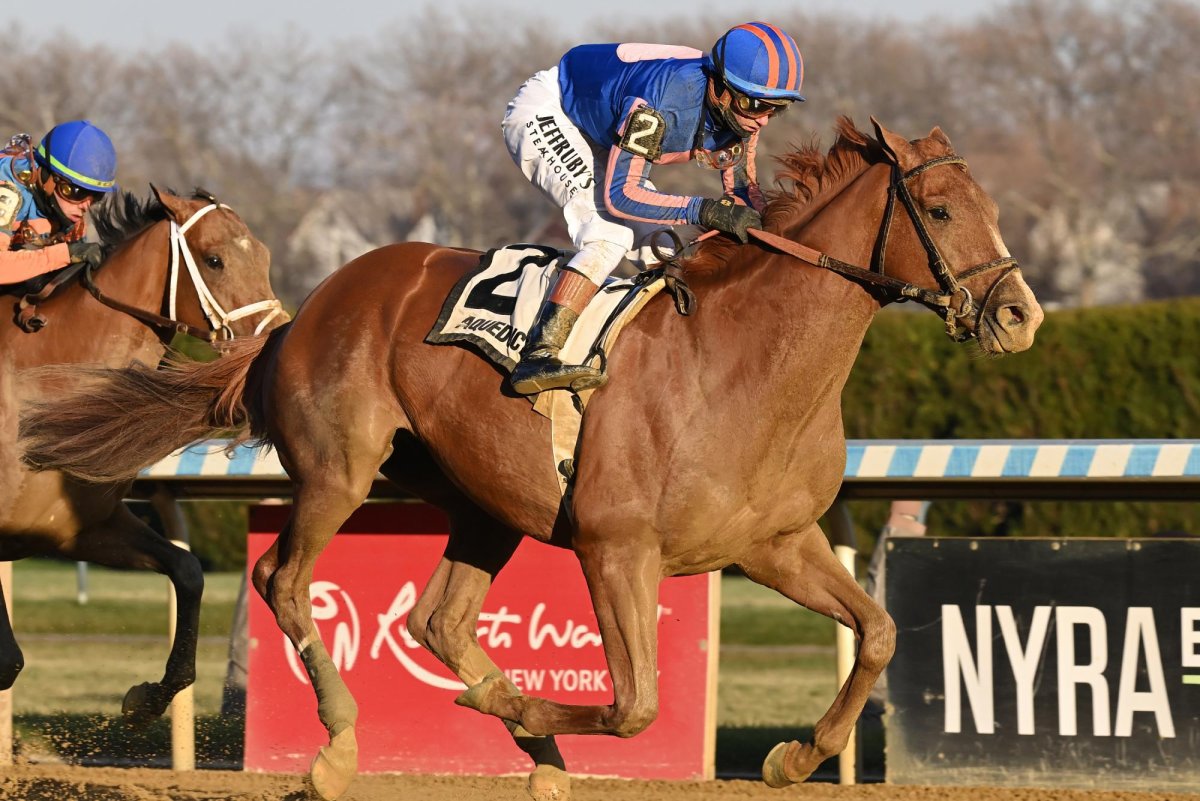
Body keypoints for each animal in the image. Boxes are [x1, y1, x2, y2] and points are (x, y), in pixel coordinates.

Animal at [0, 187, 283, 725]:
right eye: (214, 260)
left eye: (263, 255)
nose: (276, 340)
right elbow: (9, 663)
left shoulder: (80, 529)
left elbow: (188, 571)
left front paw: (148, 699)